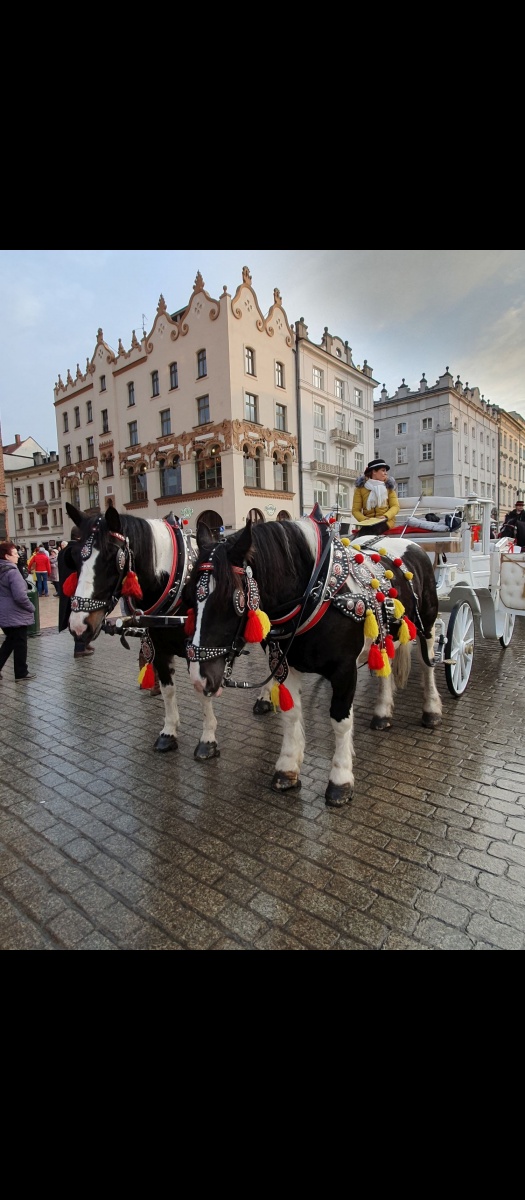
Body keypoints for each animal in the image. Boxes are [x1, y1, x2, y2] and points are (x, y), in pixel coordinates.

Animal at [63, 502, 273, 761]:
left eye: (113, 558)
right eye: (73, 558)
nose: (79, 625)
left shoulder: (198, 651)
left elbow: (202, 692)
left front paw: (207, 740)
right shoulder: (159, 648)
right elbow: (168, 690)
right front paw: (168, 732)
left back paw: (265, 698)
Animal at [185, 507, 443, 806]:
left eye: (234, 599)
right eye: (190, 598)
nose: (199, 678)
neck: (315, 592)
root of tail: (410, 545)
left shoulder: (345, 671)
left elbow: (340, 721)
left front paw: (340, 779)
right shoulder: (283, 665)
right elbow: (291, 715)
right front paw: (287, 767)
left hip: (427, 623)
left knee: (427, 665)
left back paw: (431, 709)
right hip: (382, 636)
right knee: (385, 667)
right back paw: (382, 712)